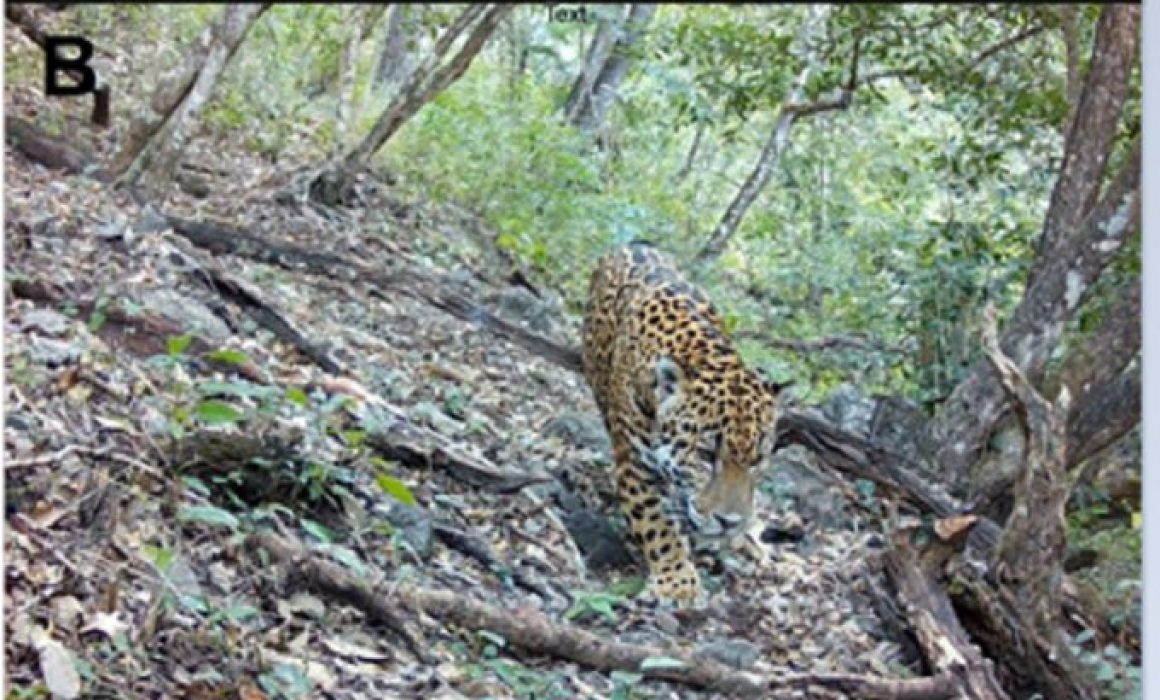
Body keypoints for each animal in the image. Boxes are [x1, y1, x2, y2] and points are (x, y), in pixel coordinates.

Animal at [580, 242, 781, 605]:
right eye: (705, 454)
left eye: (758, 460)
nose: (729, 522)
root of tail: (634, 243)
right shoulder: (634, 463)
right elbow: (656, 524)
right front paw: (678, 583)